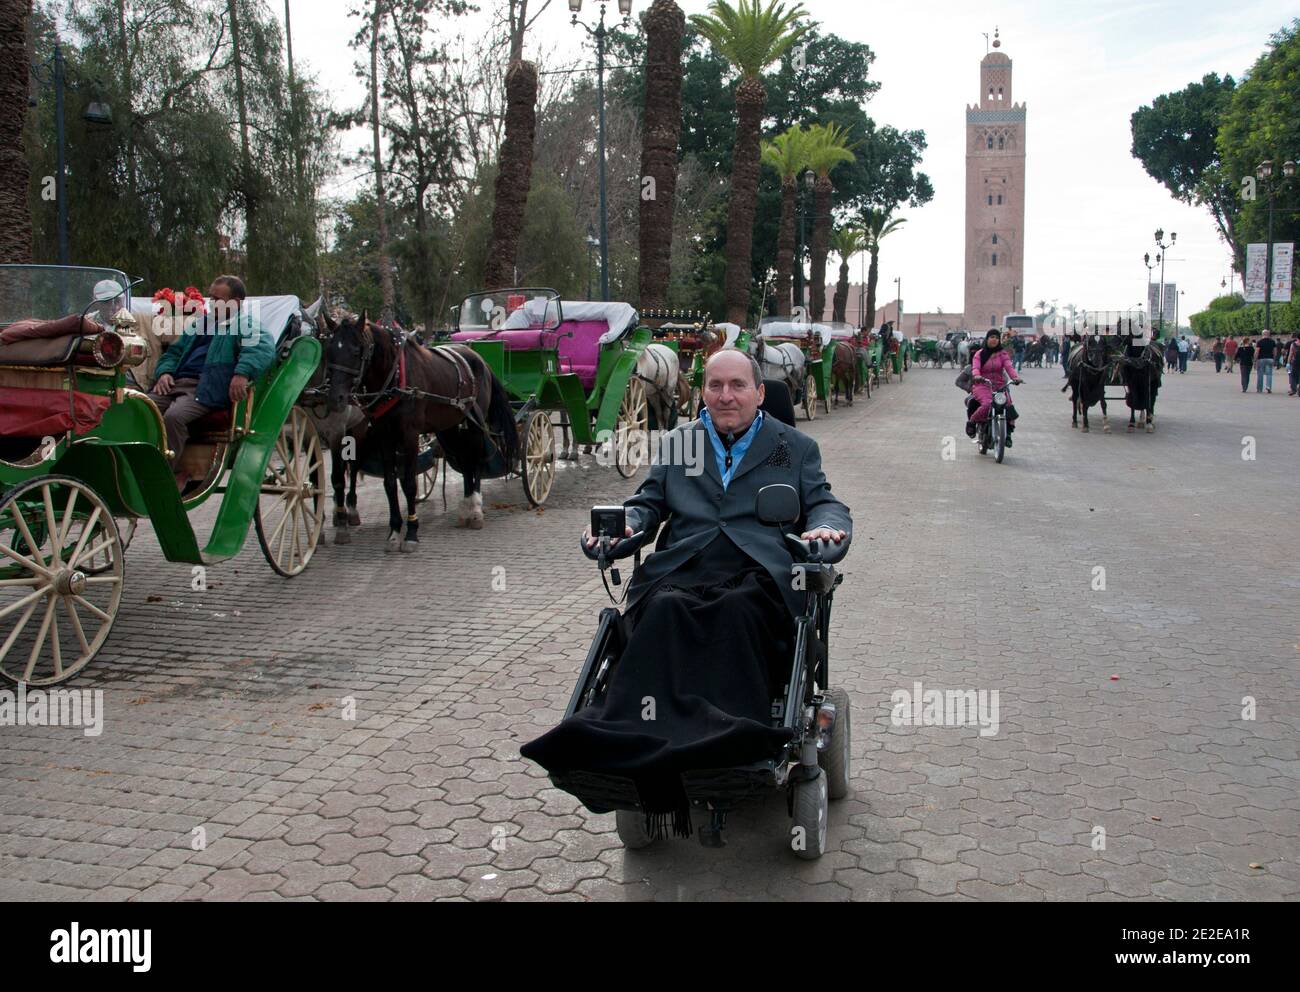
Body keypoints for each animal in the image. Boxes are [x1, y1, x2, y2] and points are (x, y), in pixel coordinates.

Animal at [325, 312, 517, 551]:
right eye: (330, 350)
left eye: (355, 351)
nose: (336, 398)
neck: (395, 377)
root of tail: (478, 358)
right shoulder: (383, 434)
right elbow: (390, 483)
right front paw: (394, 532)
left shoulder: (410, 435)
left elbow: (409, 483)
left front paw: (411, 533)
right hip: (452, 427)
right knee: (465, 464)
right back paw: (465, 508)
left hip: (474, 425)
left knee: (476, 462)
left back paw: (475, 510)